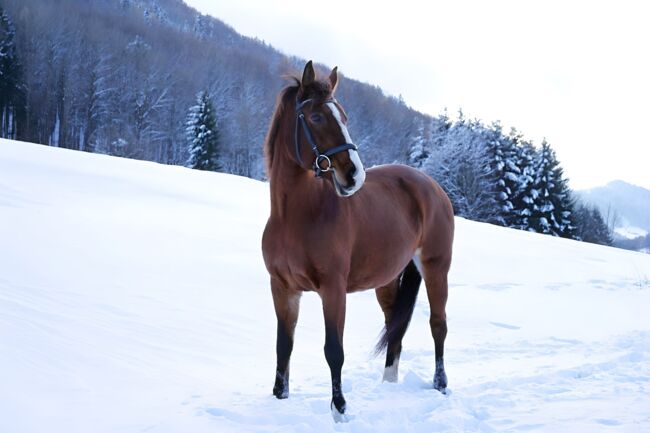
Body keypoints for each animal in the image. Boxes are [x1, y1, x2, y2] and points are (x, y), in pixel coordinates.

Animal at [260, 60, 454, 418]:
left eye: (345, 117)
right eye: (316, 117)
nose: (354, 175)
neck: (296, 217)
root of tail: (431, 186)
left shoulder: (333, 290)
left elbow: (333, 350)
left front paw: (339, 409)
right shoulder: (282, 288)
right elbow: (284, 346)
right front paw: (279, 398)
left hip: (436, 268)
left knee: (438, 325)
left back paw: (441, 384)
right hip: (388, 281)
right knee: (395, 327)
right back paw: (389, 384)